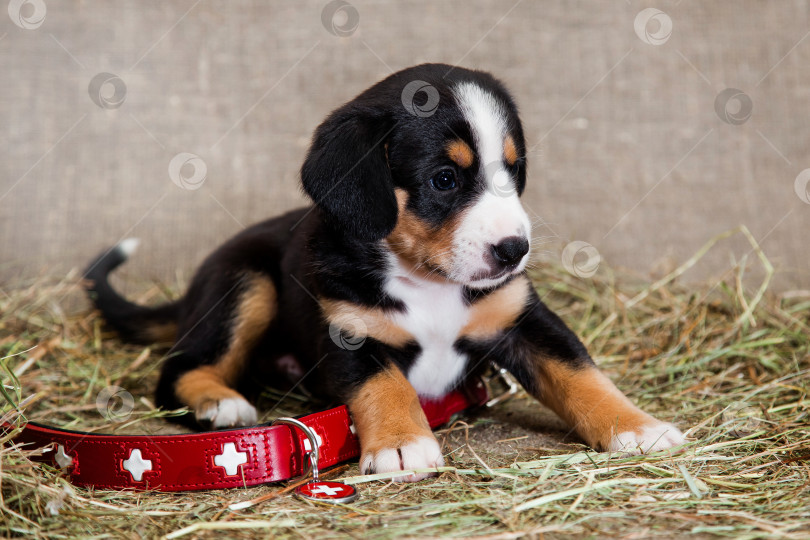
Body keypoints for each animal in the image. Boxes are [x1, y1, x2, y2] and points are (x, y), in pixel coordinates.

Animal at [87, 63, 680, 480]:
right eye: (444, 179)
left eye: (512, 173)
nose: (514, 249)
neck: (429, 281)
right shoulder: (349, 331)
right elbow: (384, 384)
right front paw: (401, 443)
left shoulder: (523, 319)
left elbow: (582, 376)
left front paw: (636, 428)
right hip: (247, 282)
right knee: (179, 371)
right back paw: (220, 404)